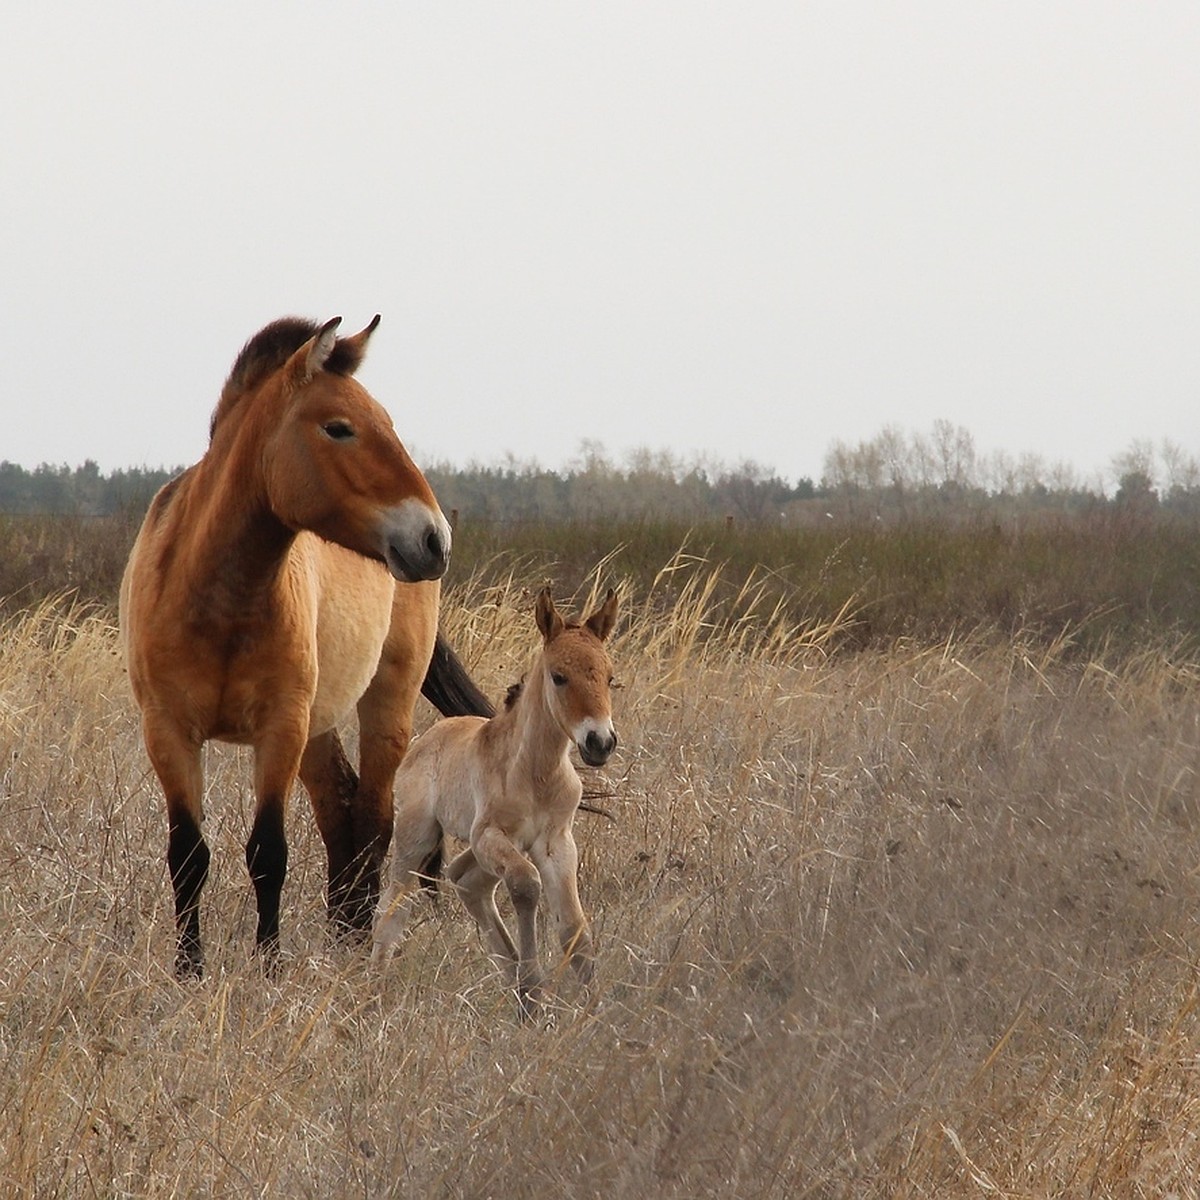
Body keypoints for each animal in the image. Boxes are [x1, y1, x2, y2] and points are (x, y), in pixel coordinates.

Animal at [121, 316, 492, 974]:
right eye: (338, 428)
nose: (433, 539)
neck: (220, 597)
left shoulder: (279, 729)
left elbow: (268, 852)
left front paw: (268, 965)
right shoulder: (168, 730)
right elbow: (188, 854)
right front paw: (189, 969)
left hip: (384, 702)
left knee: (373, 817)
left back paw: (359, 938)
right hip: (318, 725)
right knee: (340, 810)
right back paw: (341, 930)